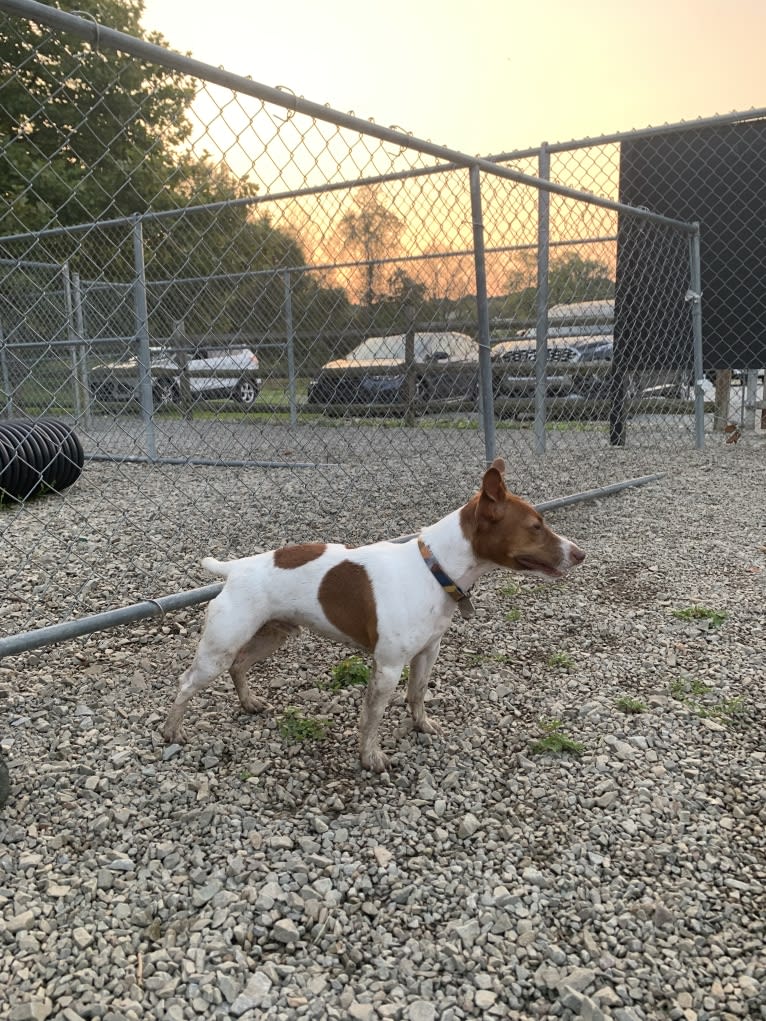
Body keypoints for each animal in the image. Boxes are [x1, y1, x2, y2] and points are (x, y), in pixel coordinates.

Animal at [165, 459, 588, 767]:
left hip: (274, 634)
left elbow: (417, 694)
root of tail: (235, 569)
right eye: (536, 526)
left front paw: (422, 726)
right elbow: (373, 717)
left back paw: (249, 703)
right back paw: (172, 732)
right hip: (219, 649)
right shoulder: (386, 668)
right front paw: (370, 758)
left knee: (240, 666)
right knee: (185, 683)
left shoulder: (428, 652)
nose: (581, 554)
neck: (433, 569)